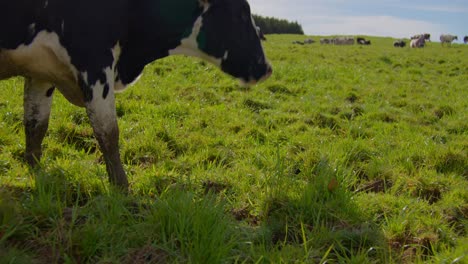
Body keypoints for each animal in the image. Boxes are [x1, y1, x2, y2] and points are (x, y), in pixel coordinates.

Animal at [0, 0, 272, 189]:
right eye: (240, 13)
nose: (267, 68)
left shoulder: (41, 73)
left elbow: (36, 126)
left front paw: (36, 173)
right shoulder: (95, 62)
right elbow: (108, 133)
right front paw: (122, 189)